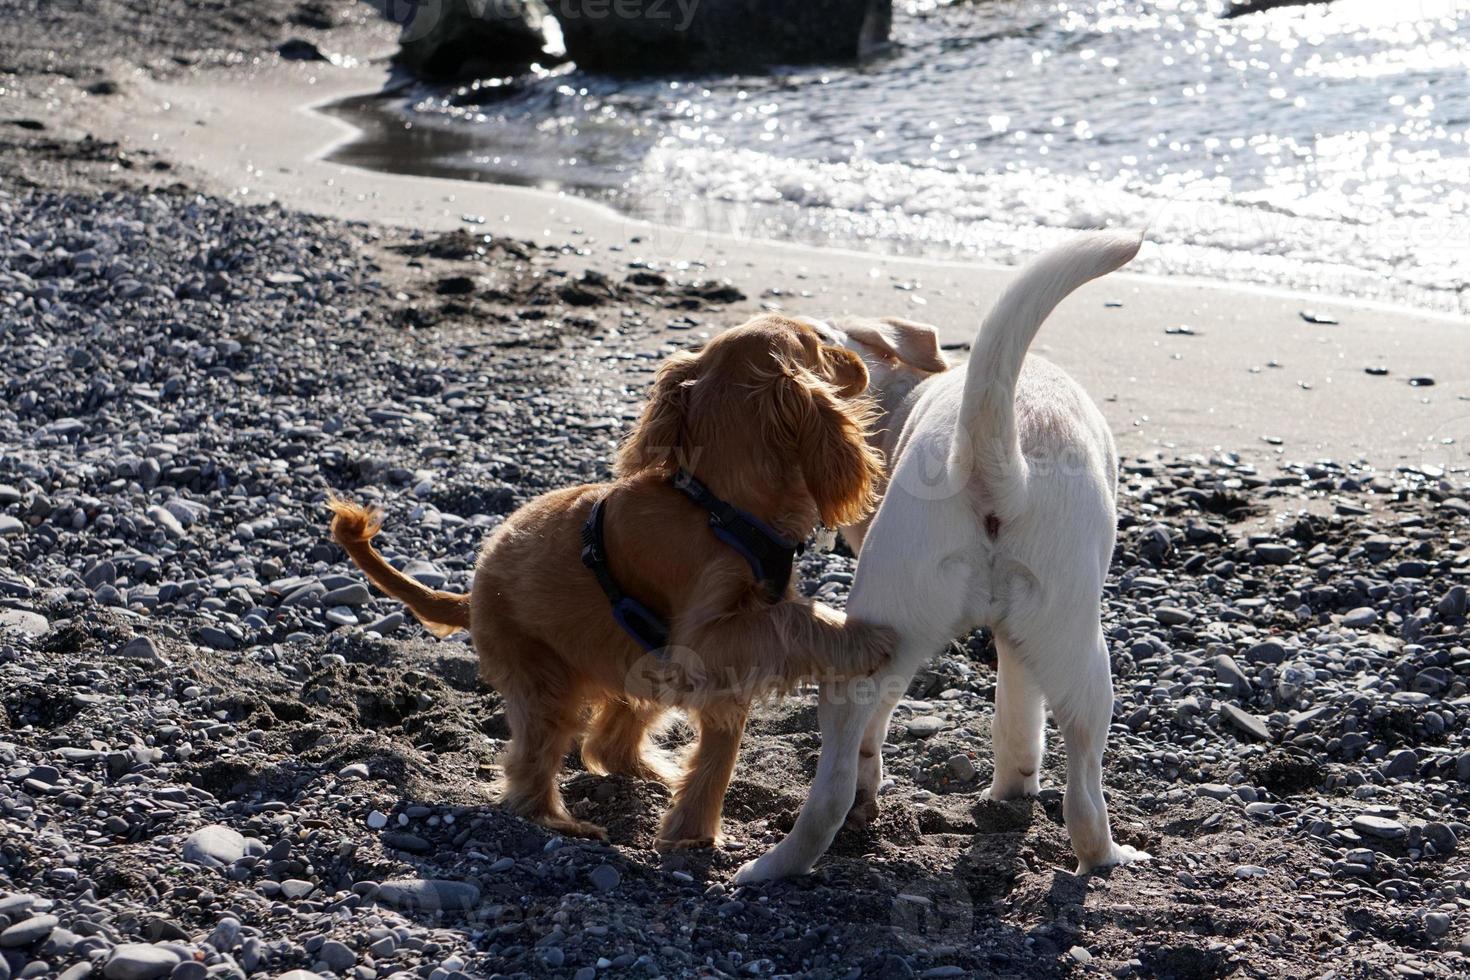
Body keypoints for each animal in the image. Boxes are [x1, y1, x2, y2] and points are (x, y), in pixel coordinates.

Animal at [326, 315, 887, 852]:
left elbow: (718, 753)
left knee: (608, 746)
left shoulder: (712, 662)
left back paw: (655, 773)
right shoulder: (708, 637)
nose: (860, 361)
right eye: (819, 339)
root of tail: (471, 596)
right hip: (544, 683)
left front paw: (692, 830)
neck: (716, 503)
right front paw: (861, 637)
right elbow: (794, 622)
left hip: (639, 664)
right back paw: (562, 823)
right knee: (531, 768)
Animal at [740, 230, 1152, 881]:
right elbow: (1018, 716)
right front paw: (1011, 793)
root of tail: (990, 461)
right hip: (1073, 655)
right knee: (1083, 787)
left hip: (908, 633)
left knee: (837, 777)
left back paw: (781, 861)